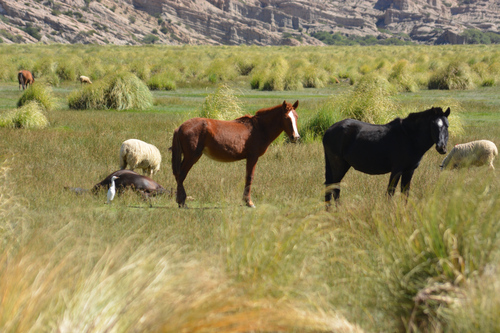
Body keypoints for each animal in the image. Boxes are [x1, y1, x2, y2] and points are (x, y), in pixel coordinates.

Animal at [322, 106, 452, 205]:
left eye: (447, 126)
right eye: (433, 126)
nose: (441, 147)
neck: (409, 137)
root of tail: (328, 131)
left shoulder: (409, 170)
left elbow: (405, 193)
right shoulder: (397, 170)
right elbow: (390, 192)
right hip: (338, 166)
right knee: (333, 188)